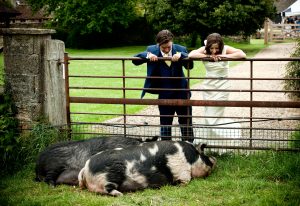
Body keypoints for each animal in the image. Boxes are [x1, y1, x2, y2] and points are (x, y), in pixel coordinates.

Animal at [78, 140, 217, 196]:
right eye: (205, 156)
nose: (215, 160)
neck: (191, 159)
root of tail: (85, 168)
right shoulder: (182, 171)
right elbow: (186, 180)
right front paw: (178, 185)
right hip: (108, 177)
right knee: (106, 189)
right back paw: (120, 194)